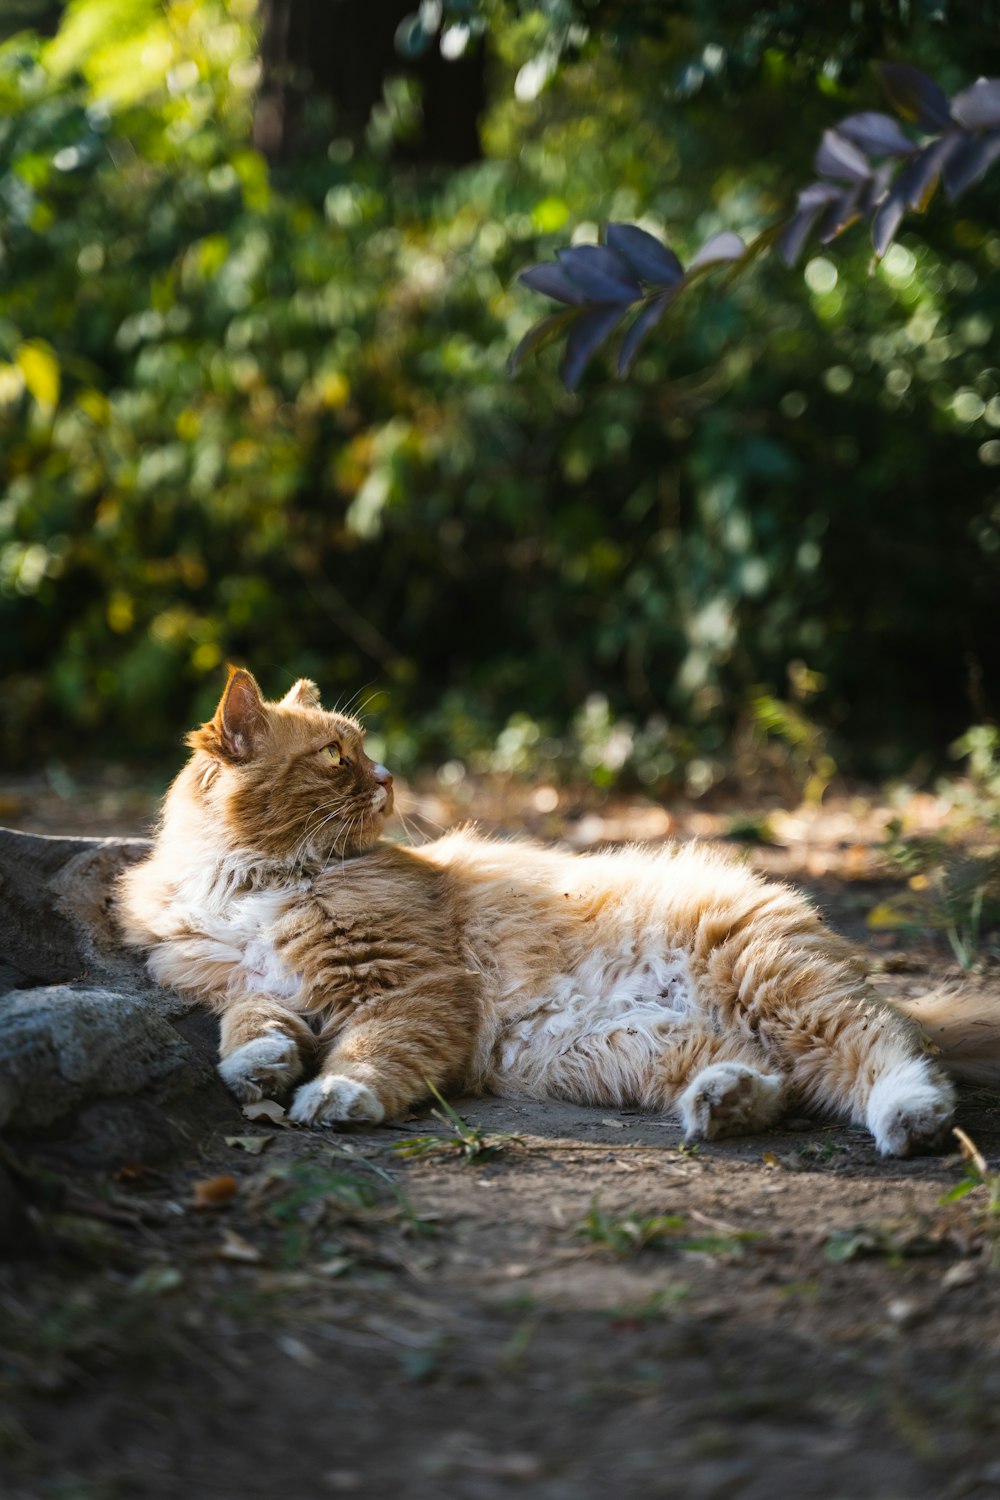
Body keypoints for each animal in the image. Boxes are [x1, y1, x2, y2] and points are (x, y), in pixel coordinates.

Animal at [119, 672, 1000, 1158]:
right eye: (337, 756)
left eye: (362, 748)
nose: (390, 777)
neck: (248, 881)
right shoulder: (241, 986)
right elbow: (250, 1025)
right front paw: (260, 1066)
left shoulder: (408, 987)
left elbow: (369, 1052)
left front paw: (334, 1093)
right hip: (633, 1047)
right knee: (778, 1081)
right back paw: (721, 1101)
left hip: (774, 984)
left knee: (885, 1050)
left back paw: (911, 1117)